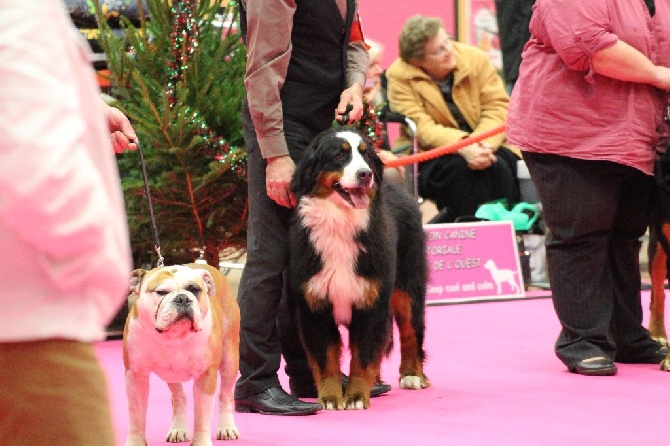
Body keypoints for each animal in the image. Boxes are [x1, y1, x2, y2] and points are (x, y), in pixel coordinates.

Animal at [288, 126, 430, 412]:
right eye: (339, 155)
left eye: (366, 155)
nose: (366, 174)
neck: (340, 223)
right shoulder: (314, 305)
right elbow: (326, 360)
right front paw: (331, 398)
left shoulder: (371, 303)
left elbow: (362, 356)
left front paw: (355, 396)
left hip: (408, 286)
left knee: (412, 331)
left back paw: (412, 375)